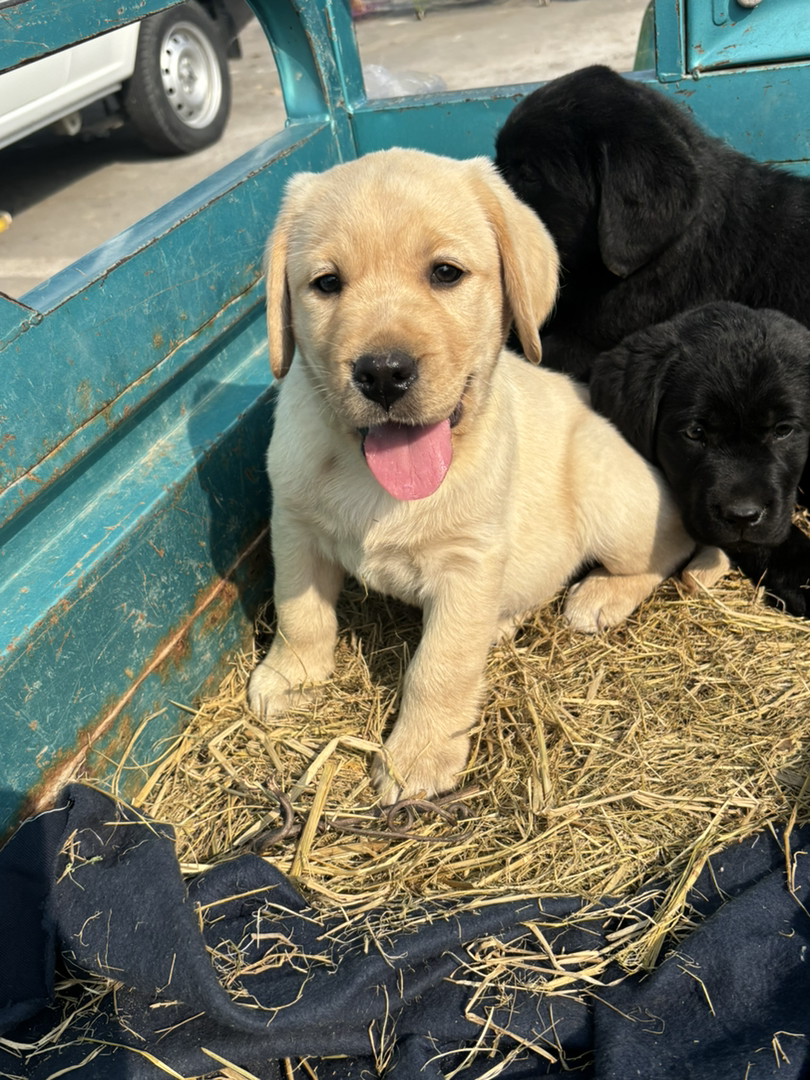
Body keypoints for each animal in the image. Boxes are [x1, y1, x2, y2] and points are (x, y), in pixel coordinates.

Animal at [246, 147, 703, 802]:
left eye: (446, 273)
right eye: (327, 283)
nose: (382, 373)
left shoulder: (469, 562)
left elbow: (439, 666)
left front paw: (418, 755)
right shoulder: (293, 525)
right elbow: (298, 611)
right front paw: (292, 675)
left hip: (612, 497)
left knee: (670, 545)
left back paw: (600, 596)